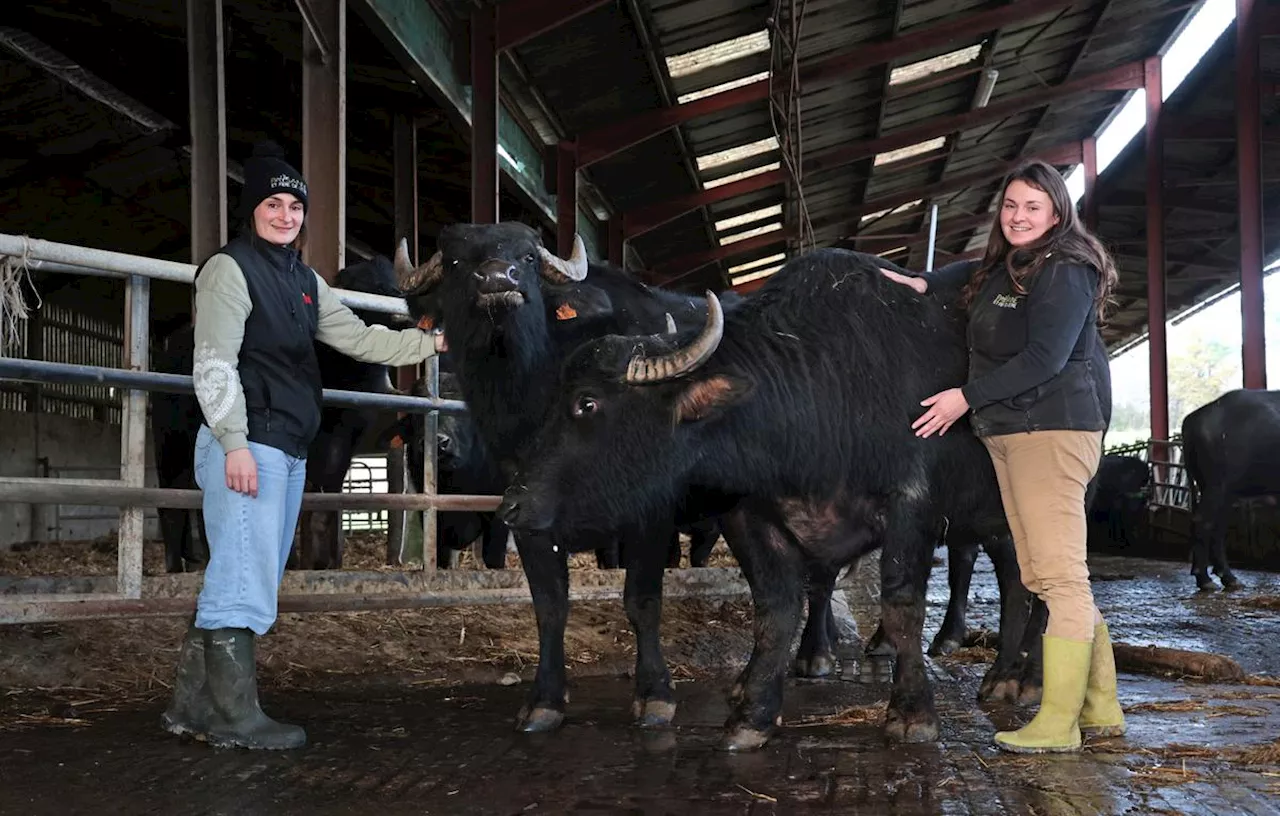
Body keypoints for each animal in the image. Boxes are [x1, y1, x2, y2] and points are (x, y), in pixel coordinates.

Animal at [499, 250, 1039, 757]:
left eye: (587, 403)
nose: (511, 505)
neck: (824, 396)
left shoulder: (912, 505)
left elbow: (902, 606)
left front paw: (912, 712)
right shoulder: (752, 516)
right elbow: (776, 609)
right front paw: (753, 713)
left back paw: (1020, 678)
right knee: (1018, 579)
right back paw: (1006, 673)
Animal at [1177, 388, 1280, 588]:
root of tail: (1193, 418)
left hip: (1222, 491)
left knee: (1218, 526)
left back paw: (1228, 578)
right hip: (1216, 486)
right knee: (1204, 522)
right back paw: (1206, 580)